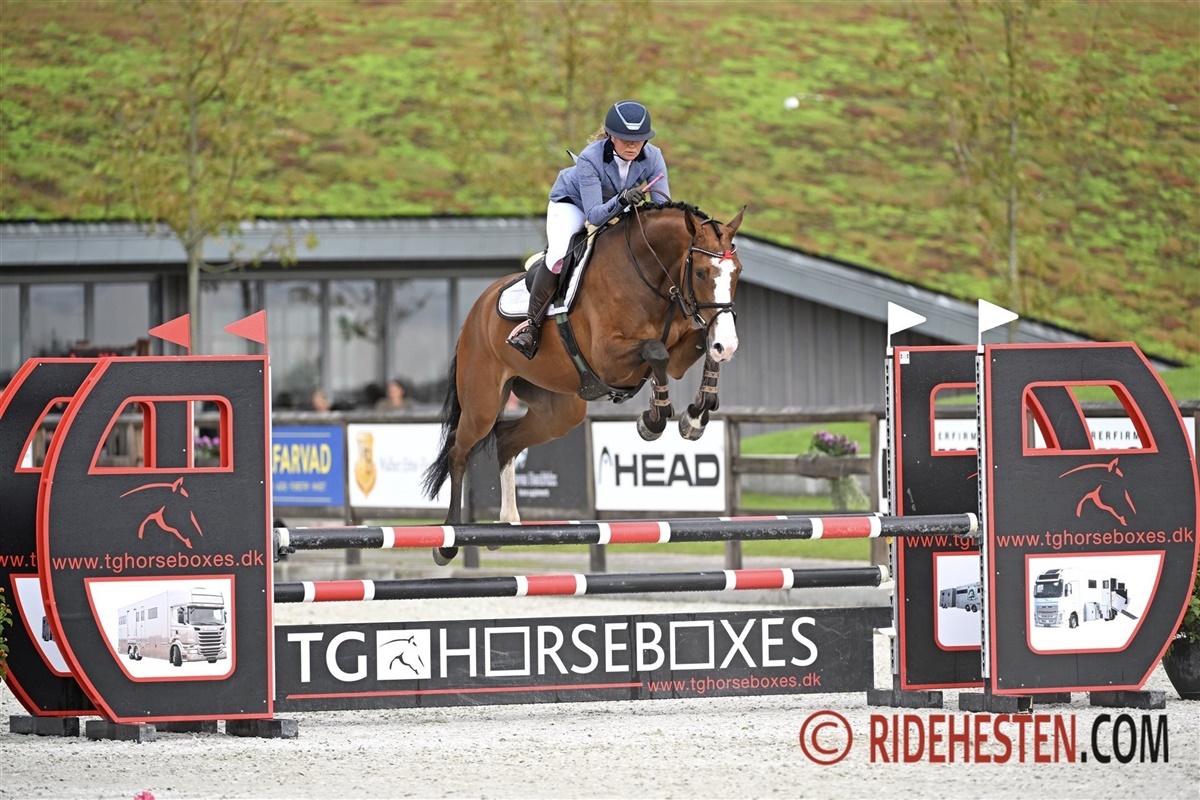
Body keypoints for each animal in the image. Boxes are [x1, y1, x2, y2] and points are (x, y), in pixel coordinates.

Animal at [422, 201, 746, 564]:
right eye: (701, 273)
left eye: (737, 272)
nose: (730, 344)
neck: (650, 275)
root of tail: (475, 311)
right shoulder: (609, 360)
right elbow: (656, 351)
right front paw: (654, 419)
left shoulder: (678, 357)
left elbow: (700, 344)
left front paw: (695, 417)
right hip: (482, 404)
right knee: (459, 451)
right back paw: (448, 541)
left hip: (559, 411)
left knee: (506, 439)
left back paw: (506, 523)